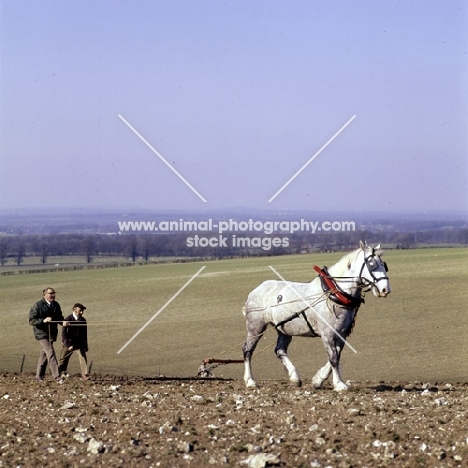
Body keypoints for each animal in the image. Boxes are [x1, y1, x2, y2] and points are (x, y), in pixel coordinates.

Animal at [243, 241, 390, 392]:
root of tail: (255, 290)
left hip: (284, 329)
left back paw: (295, 378)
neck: (334, 293)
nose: (385, 290)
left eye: (384, 264)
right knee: (248, 350)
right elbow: (333, 358)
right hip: (256, 327)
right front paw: (339, 384)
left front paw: (318, 380)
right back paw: (250, 381)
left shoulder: (341, 334)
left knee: (280, 350)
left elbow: (337, 355)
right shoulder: (327, 334)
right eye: (371, 264)